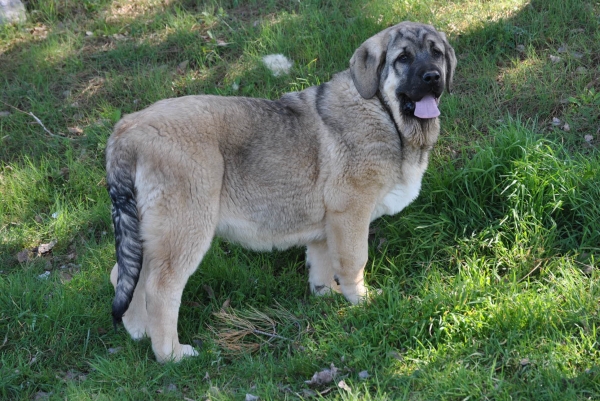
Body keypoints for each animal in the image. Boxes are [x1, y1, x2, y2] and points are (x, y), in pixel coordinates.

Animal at [106, 20, 454, 360]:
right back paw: (171, 354)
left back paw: (139, 332)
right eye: (403, 58)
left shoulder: (327, 224)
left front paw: (326, 298)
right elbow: (353, 261)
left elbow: (322, 264)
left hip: (149, 234)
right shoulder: (350, 212)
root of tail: (126, 130)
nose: (433, 77)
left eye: (436, 53)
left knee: (124, 276)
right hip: (184, 229)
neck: (384, 112)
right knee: (160, 289)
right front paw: (361, 300)